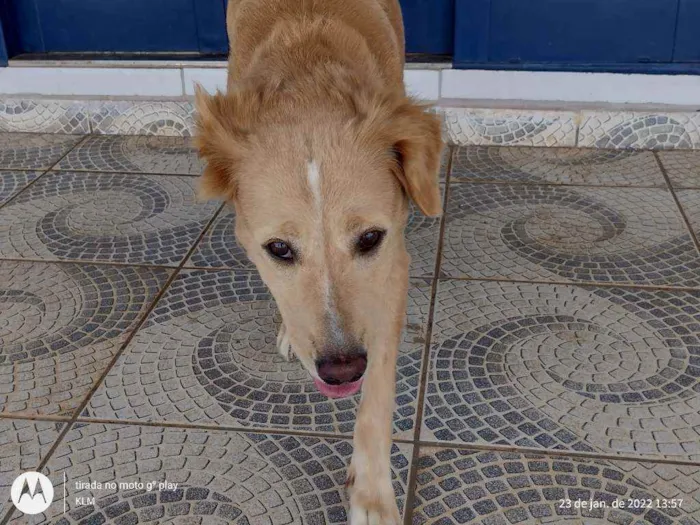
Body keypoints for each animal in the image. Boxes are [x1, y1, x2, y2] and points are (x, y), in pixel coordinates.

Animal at [191, 1, 442, 520]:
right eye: (279, 249)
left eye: (370, 239)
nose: (342, 370)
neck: (308, 79)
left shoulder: (393, 264)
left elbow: (378, 394)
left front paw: (373, 495)